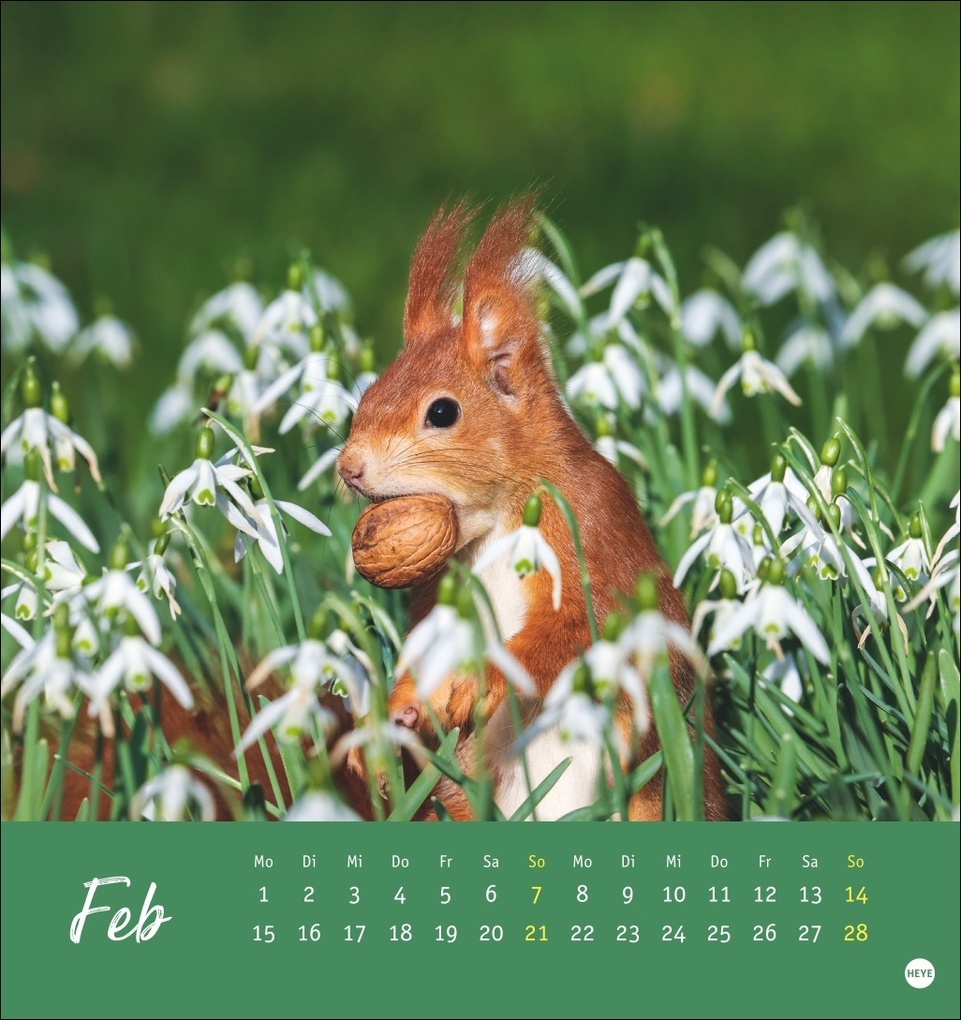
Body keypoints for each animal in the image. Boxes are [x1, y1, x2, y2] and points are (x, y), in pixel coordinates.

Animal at [338, 197, 727, 821]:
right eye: (369, 394)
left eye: (442, 413)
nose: (349, 467)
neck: (494, 526)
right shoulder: (442, 589)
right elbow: (426, 649)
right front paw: (389, 718)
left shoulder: (591, 529)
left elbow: (576, 629)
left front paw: (481, 678)